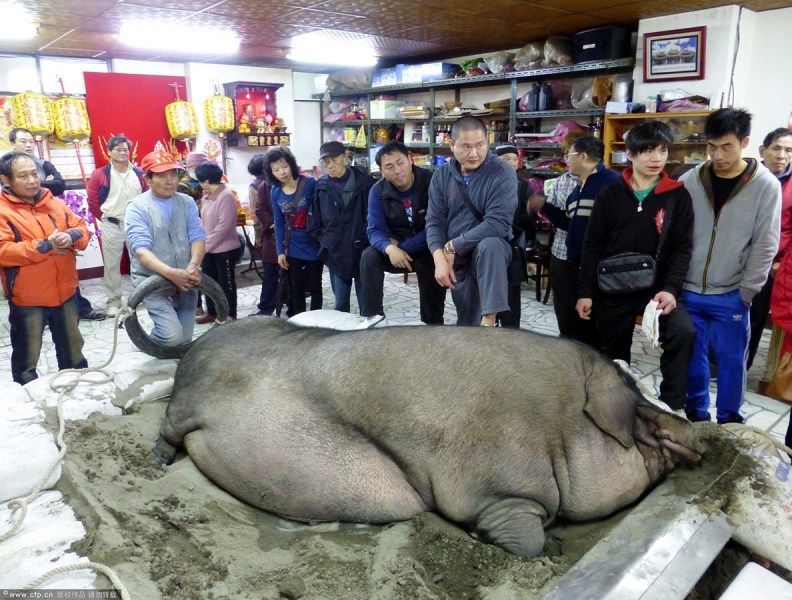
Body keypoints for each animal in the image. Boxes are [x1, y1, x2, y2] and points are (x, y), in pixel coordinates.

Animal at [158, 318, 704, 556]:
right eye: (645, 419)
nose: (698, 434)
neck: (560, 425)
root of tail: (199, 344)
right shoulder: (501, 490)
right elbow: (528, 542)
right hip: (184, 407)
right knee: (169, 428)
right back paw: (159, 461)